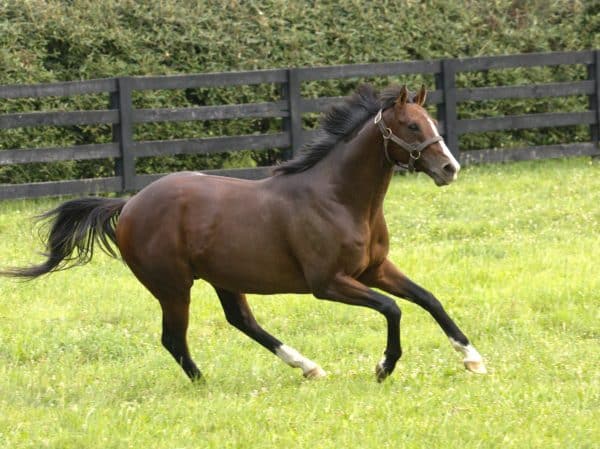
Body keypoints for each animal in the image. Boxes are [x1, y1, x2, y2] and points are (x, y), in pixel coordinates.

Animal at [1, 85, 488, 382]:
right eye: (411, 126)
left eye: (430, 122)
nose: (450, 169)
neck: (340, 198)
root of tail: (129, 204)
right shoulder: (329, 283)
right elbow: (393, 309)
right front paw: (384, 366)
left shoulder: (375, 268)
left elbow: (427, 299)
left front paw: (473, 358)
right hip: (173, 287)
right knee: (174, 339)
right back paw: (204, 383)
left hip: (224, 278)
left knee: (242, 321)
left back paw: (308, 367)